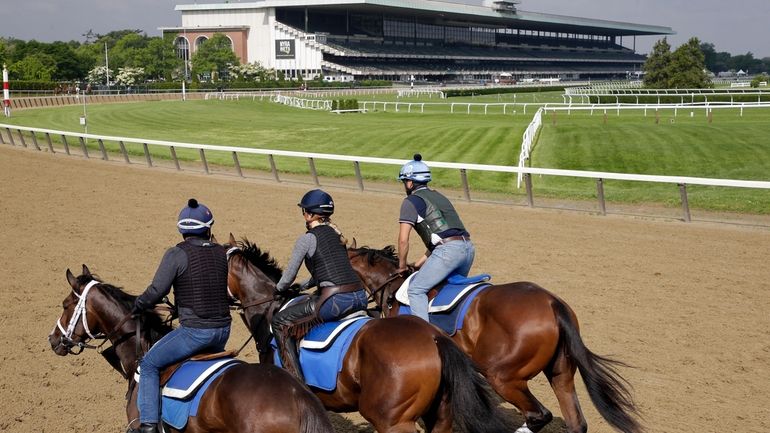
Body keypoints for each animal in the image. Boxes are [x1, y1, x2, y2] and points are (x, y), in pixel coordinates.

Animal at [344, 245, 640, 432]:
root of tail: (552, 303)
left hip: (502, 376)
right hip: (561, 372)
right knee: (576, 422)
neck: (394, 286)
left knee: (538, 415)